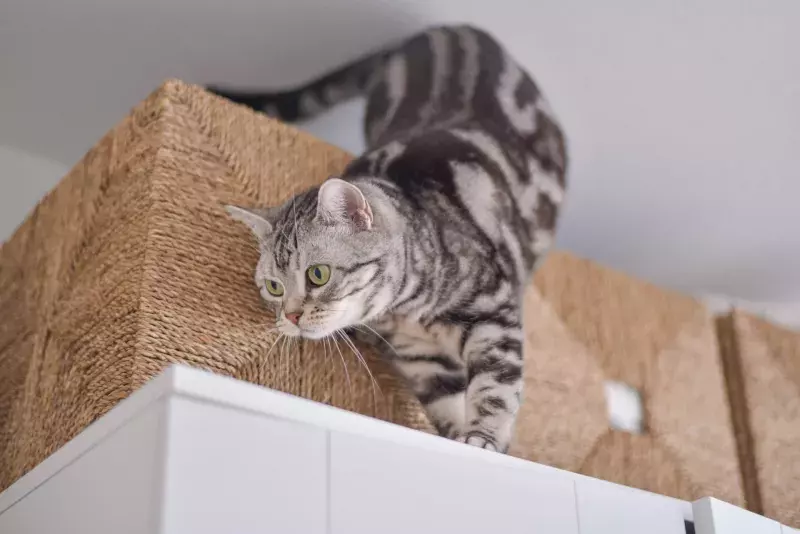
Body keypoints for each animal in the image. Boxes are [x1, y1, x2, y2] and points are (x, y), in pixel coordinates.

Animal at [212, 24, 564, 452]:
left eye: (317, 274)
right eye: (274, 287)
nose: (291, 316)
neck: (408, 313)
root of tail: (442, 30)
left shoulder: (494, 313)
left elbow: (495, 387)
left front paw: (484, 439)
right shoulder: (421, 360)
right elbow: (446, 402)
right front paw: (456, 437)